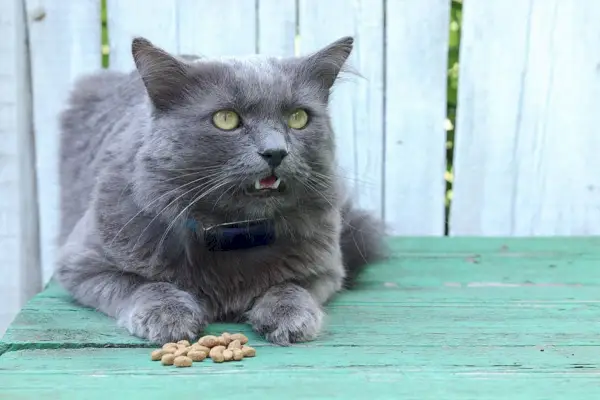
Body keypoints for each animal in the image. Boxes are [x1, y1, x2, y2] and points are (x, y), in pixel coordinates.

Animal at [54, 36, 386, 346]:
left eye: (298, 118)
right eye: (226, 119)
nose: (276, 152)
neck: (233, 233)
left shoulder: (325, 269)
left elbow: (291, 286)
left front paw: (288, 316)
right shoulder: (82, 264)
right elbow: (143, 285)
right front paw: (169, 315)